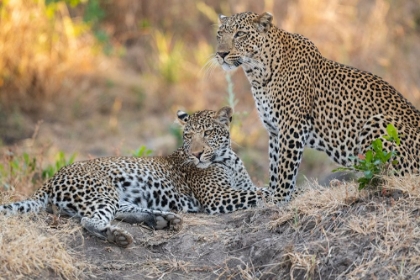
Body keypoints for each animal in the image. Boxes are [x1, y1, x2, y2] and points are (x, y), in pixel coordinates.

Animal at [0, 106, 270, 246]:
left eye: (208, 133)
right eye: (188, 135)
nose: (197, 153)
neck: (228, 158)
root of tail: (48, 183)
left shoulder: (233, 188)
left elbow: (256, 189)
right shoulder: (218, 197)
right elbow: (262, 192)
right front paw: (281, 192)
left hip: (114, 196)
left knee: (121, 211)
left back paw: (163, 219)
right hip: (101, 191)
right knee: (89, 220)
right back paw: (118, 235)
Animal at [217, 12, 420, 202]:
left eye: (240, 34)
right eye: (219, 34)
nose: (221, 54)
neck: (257, 73)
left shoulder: (293, 125)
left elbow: (285, 167)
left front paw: (279, 198)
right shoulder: (274, 130)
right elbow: (274, 165)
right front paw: (273, 194)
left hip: (379, 123)